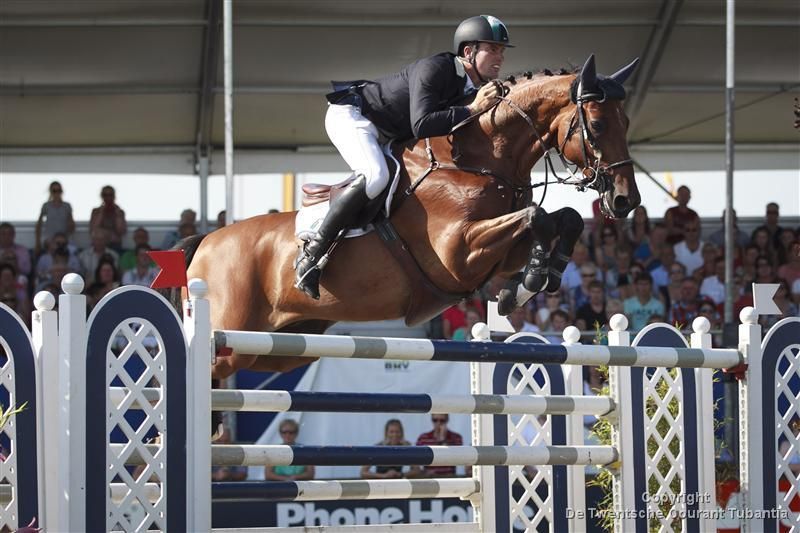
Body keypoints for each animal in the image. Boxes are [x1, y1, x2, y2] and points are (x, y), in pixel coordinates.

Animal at [184, 55, 640, 378]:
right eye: (597, 125)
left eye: (626, 121)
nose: (625, 201)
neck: (479, 159)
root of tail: (205, 243)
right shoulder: (456, 254)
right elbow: (537, 217)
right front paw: (525, 287)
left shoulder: (495, 256)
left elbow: (564, 218)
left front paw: (531, 283)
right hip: (230, 333)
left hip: (279, 347)